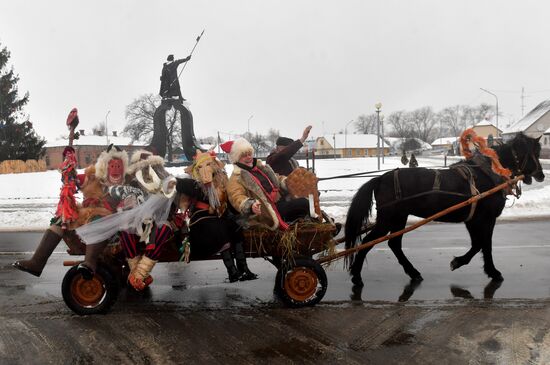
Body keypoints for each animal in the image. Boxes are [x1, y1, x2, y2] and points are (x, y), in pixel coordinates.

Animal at [348, 132, 544, 286]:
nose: (541, 175)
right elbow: (484, 245)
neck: (487, 174)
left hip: (399, 217)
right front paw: (489, 270)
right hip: (387, 218)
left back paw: (413, 273)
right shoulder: (485, 219)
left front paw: (461, 262)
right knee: (368, 242)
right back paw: (356, 275)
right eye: (533, 152)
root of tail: (381, 178)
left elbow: (477, 244)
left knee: (394, 244)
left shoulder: (472, 219)